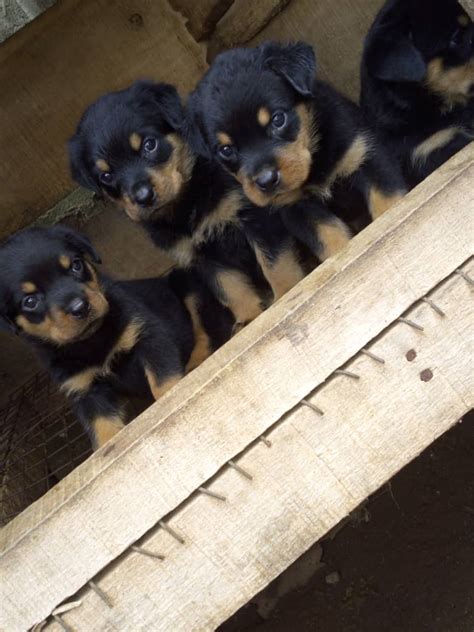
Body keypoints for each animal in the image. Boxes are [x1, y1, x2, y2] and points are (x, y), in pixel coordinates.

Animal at [0, 227, 233, 450]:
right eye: (30, 302)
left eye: (77, 265)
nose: (80, 307)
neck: (92, 339)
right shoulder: (85, 389)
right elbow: (103, 429)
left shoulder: (148, 336)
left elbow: (164, 383)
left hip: (186, 284)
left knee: (205, 330)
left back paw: (196, 360)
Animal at [68, 81, 308, 324]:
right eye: (106, 176)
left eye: (149, 144)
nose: (143, 197)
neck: (185, 205)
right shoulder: (202, 256)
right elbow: (230, 288)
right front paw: (250, 318)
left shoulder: (254, 217)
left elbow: (274, 263)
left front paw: (287, 293)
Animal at [186, 40, 408, 256]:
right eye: (226, 150)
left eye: (278, 119)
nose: (266, 181)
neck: (314, 162)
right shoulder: (296, 207)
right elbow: (329, 238)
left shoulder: (363, 153)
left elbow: (389, 205)